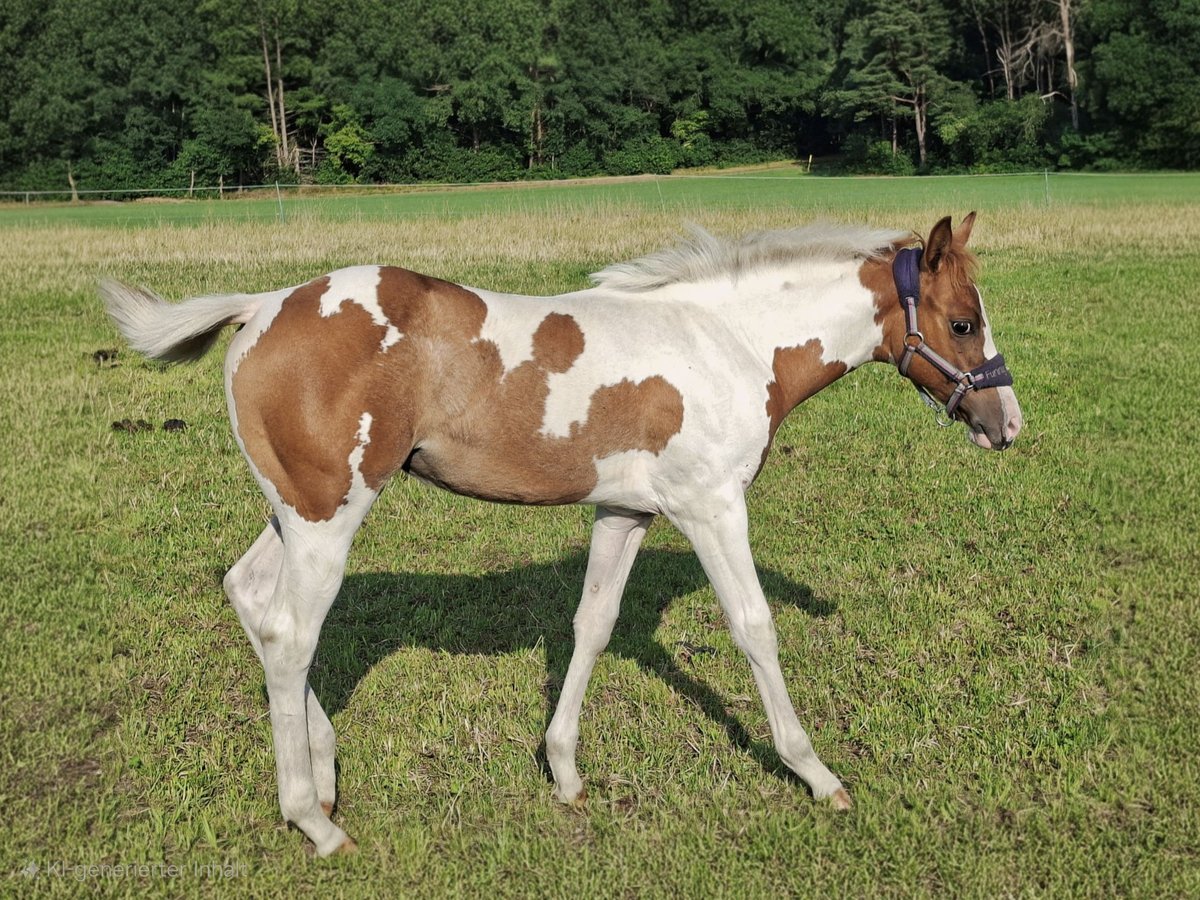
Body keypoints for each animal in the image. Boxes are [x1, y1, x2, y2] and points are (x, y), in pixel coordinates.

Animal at [102, 212, 1022, 856]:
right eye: (964, 323)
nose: (1006, 423)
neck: (728, 343)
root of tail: (259, 307)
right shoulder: (712, 507)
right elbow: (754, 628)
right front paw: (819, 775)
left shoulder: (627, 512)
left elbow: (592, 626)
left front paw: (566, 772)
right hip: (330, 514)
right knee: (293, 634)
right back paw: (315, 822)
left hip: (295, 511)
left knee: (250, 600)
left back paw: (325, 773)